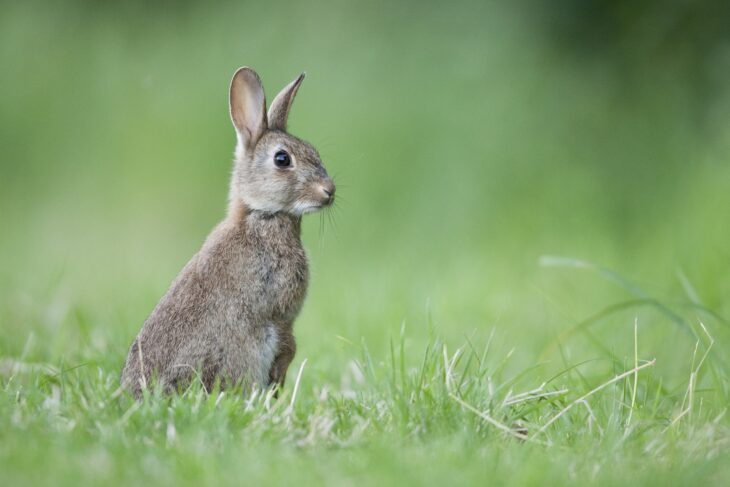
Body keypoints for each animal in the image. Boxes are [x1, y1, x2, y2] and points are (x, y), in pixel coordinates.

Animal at [120, 66, 336, 398]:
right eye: (282, 159)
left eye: (314, 151)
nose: (329, 191)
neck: (261, 214)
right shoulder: (278, 310)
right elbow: (286, 341)